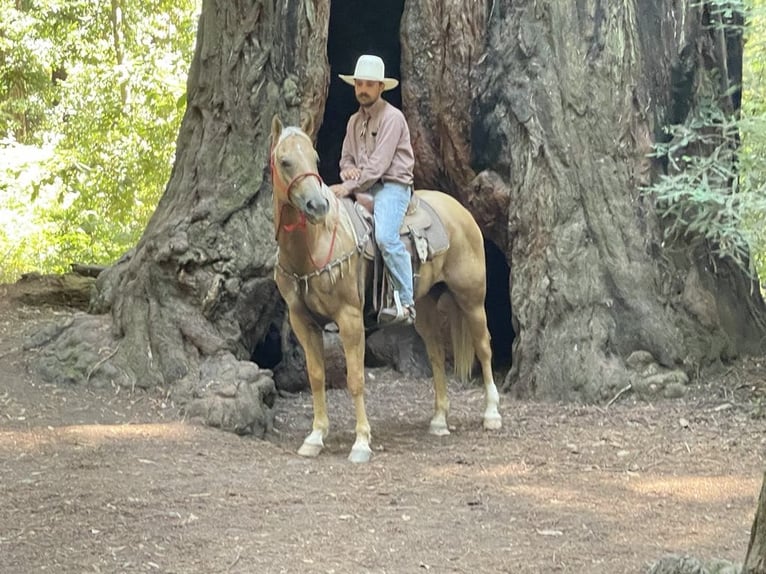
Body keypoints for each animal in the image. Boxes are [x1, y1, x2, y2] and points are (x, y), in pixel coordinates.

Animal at [270, 115, 502, 463]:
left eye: (315, 159)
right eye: (285, 161)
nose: (318, 205)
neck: (313, 246)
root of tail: (461, 211)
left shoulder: (350, 319)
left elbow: (355, 379)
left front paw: (361, 442)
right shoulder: (303, 321)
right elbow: (316, 377)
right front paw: (315, 437)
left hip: (471, 298)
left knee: (484, 347)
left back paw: (491, 414)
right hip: (426, 307)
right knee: (436, 355)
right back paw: (439, 420)